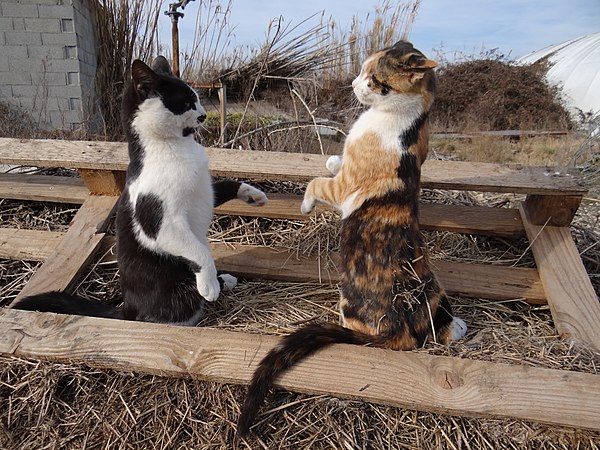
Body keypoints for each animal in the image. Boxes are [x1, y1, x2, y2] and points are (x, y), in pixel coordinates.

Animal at [12, 56, 268, 326]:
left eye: (197, 100)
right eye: (185, 103)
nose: (203, 115)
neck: (175, 147)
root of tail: (127, 308)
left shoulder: (205, 190)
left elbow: (228, 184)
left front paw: (254, 195)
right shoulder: (163, 224)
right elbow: (199, 252)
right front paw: (209, 284)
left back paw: (225, 279)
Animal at [239, 41, 468, 436]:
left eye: (373, 78)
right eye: (362, 71)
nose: (353, 83)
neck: (406, 122)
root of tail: (398, 331)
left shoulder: (344, 188)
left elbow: (318, 182)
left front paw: (306, 203)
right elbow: (335, 162)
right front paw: (333, 158)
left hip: (347, 298)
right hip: (435, 292)